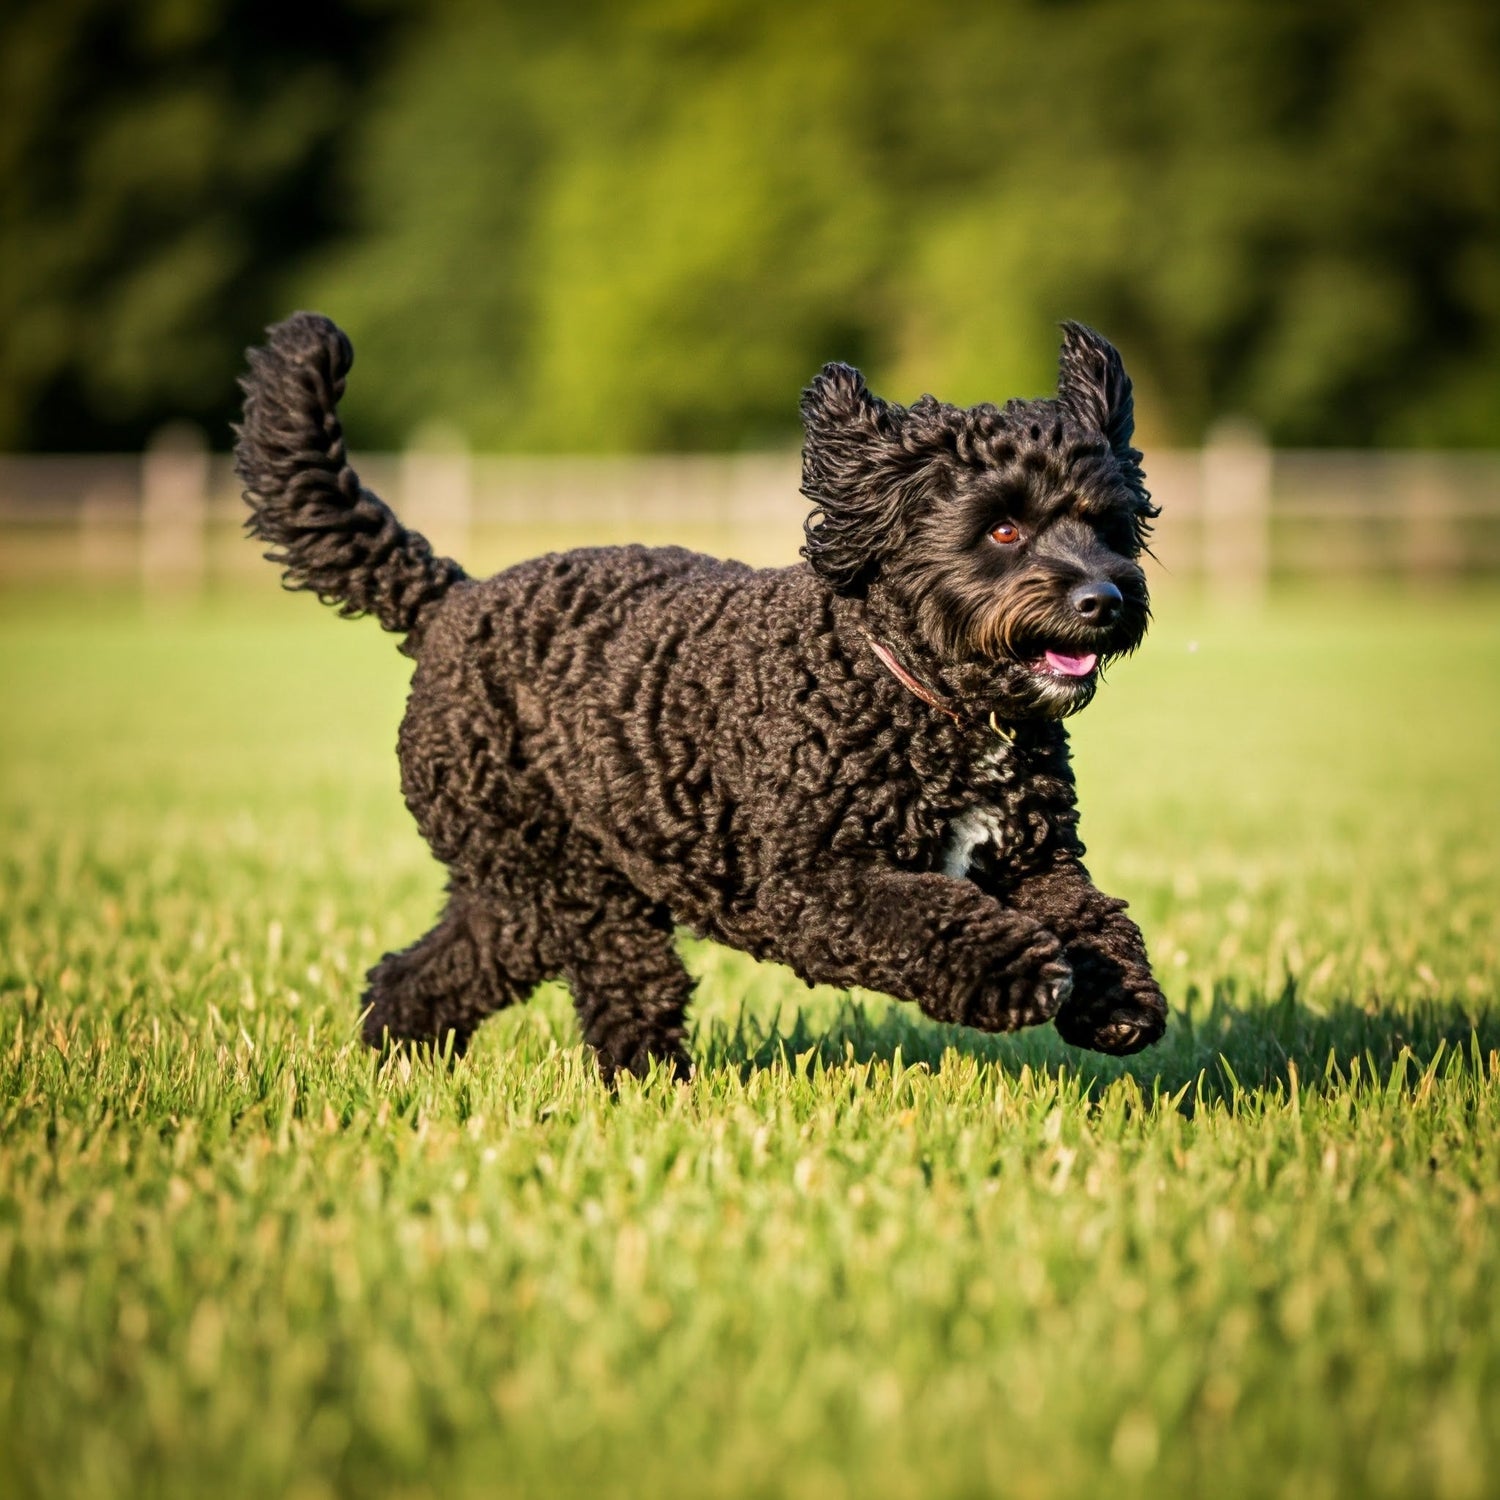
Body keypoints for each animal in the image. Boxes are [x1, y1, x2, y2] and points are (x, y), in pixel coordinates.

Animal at [234, 313, 1170, 1080]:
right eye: (1004, 528)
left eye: (1108, 525)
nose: (1104, 599)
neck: (917, 697)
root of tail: (451, 601)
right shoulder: (811, 883)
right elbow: (931, 917)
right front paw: (1019, 972)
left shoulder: (1036, 860)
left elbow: (1095, 919)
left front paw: (1118, 998)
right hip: (571, 885)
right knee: (625, 985)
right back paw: (646, 1085)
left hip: (516, 887)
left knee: (435, 965)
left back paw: (398, 1048)